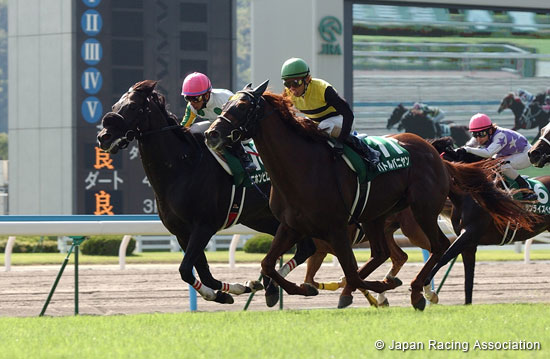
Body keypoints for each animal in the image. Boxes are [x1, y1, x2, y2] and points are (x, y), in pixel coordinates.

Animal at [207, 83, 540, 310]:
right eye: (226, 105)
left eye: (242, 106)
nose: (212, 133)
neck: (301, 166)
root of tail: (433, 151)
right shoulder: (291, 226)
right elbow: (268, 264)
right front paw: (303, 290)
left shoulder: (336, 227)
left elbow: (351, 274)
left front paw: (377, 287)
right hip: (377, 215)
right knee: (384, 252)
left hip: (421, 209)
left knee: (439, 246)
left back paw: (417, 290)